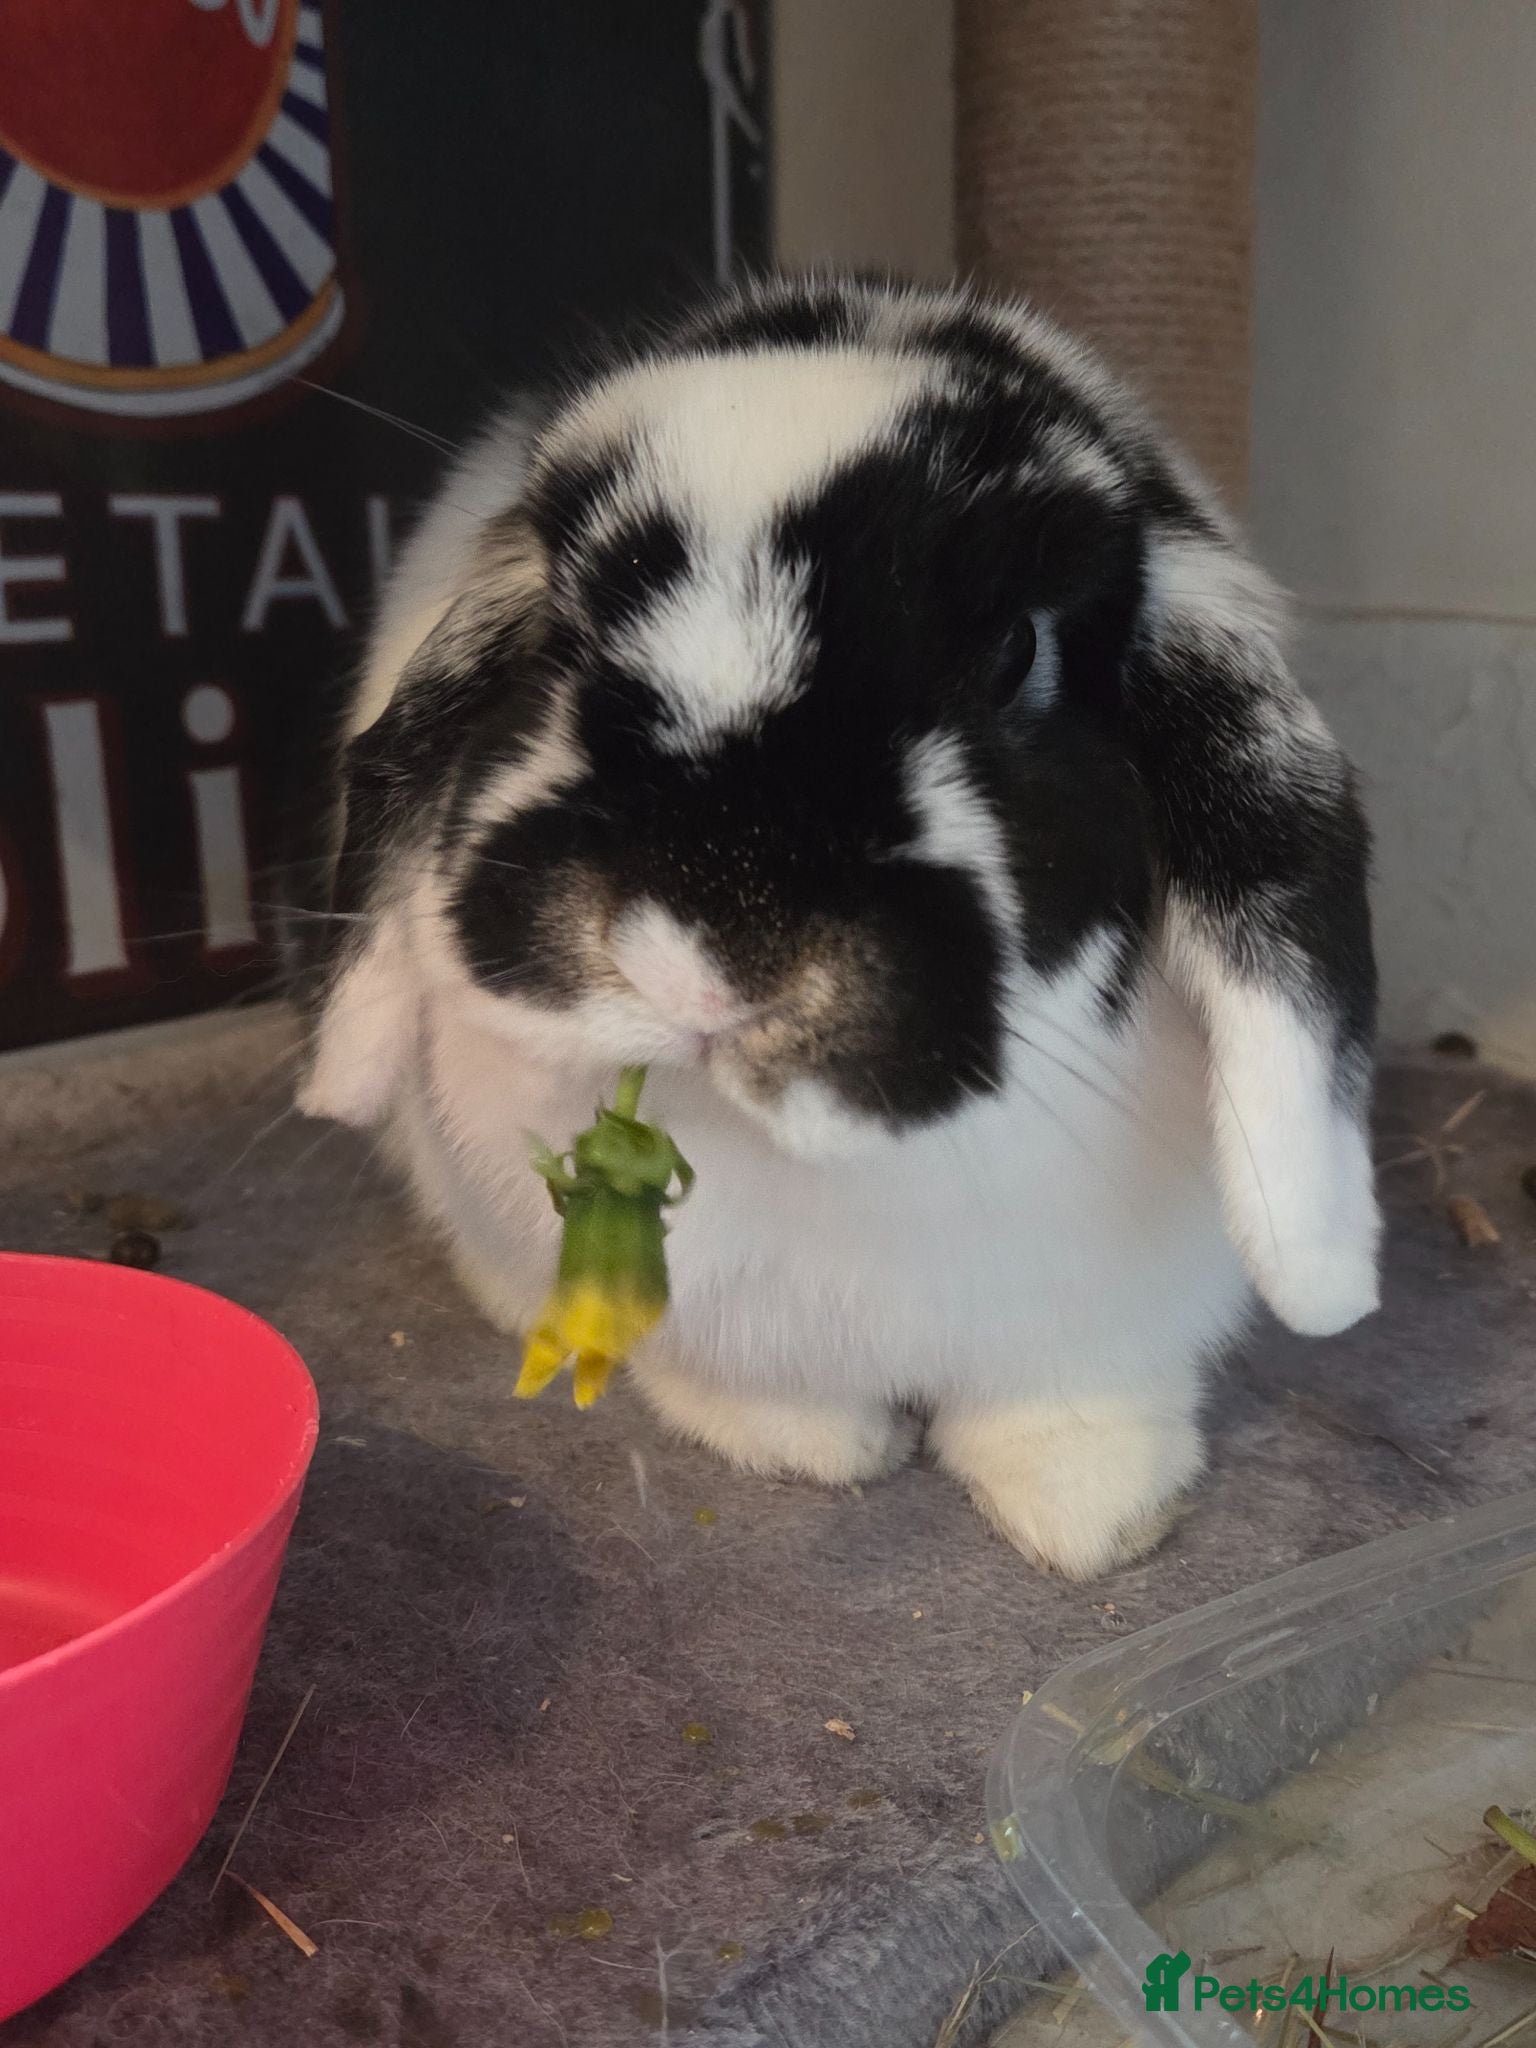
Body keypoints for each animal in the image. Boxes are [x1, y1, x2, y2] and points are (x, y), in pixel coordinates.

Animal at [296, 276, 1381, 1579]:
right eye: (563, 635)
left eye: (1017, 650)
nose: (698, 958)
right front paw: (816, 1446)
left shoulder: (1089, 1326)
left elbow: (1068, 1404)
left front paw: (1093, 1513)